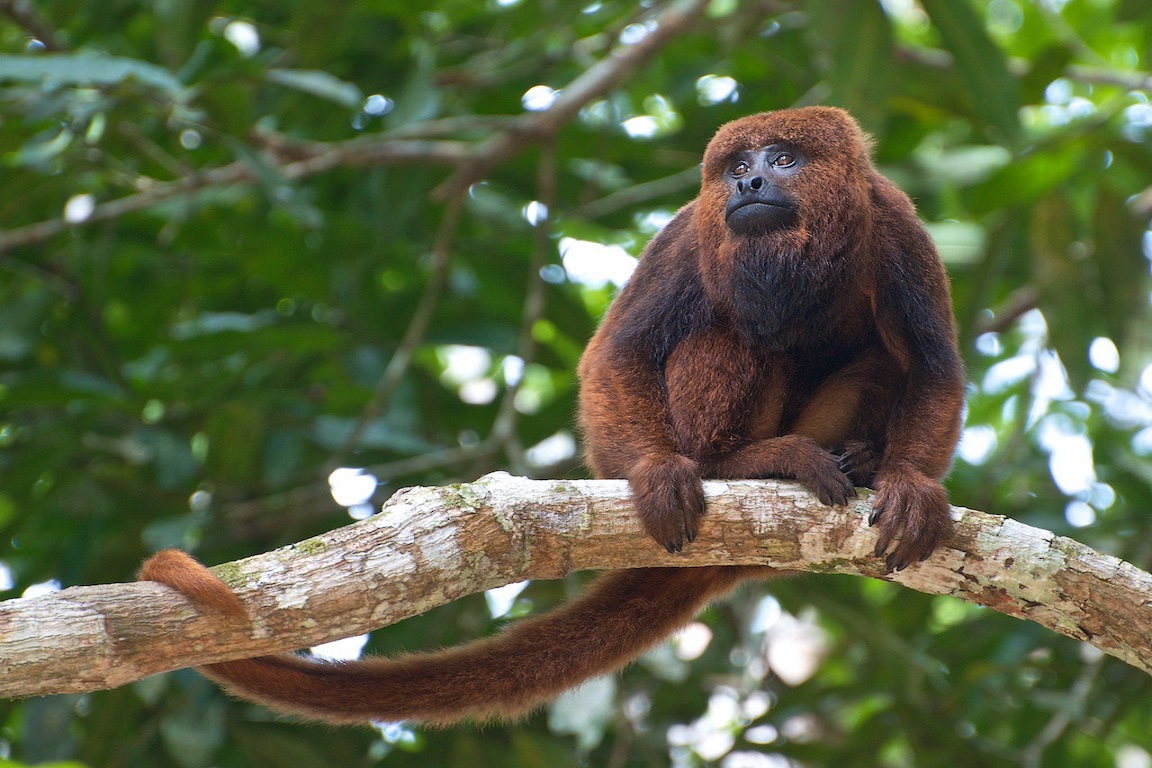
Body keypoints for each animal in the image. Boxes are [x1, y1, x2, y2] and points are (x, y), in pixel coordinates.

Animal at [139, 106, 965, 727]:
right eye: (737, 169)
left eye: (784, 158)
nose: (754, 180)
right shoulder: (687, 232)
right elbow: (616, 354)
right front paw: (658, 474)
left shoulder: (898, 226)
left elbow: (932, 366)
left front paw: (909, 486)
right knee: (728, 333)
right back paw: (742, 461)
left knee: (882, 357)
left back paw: (855, 458)